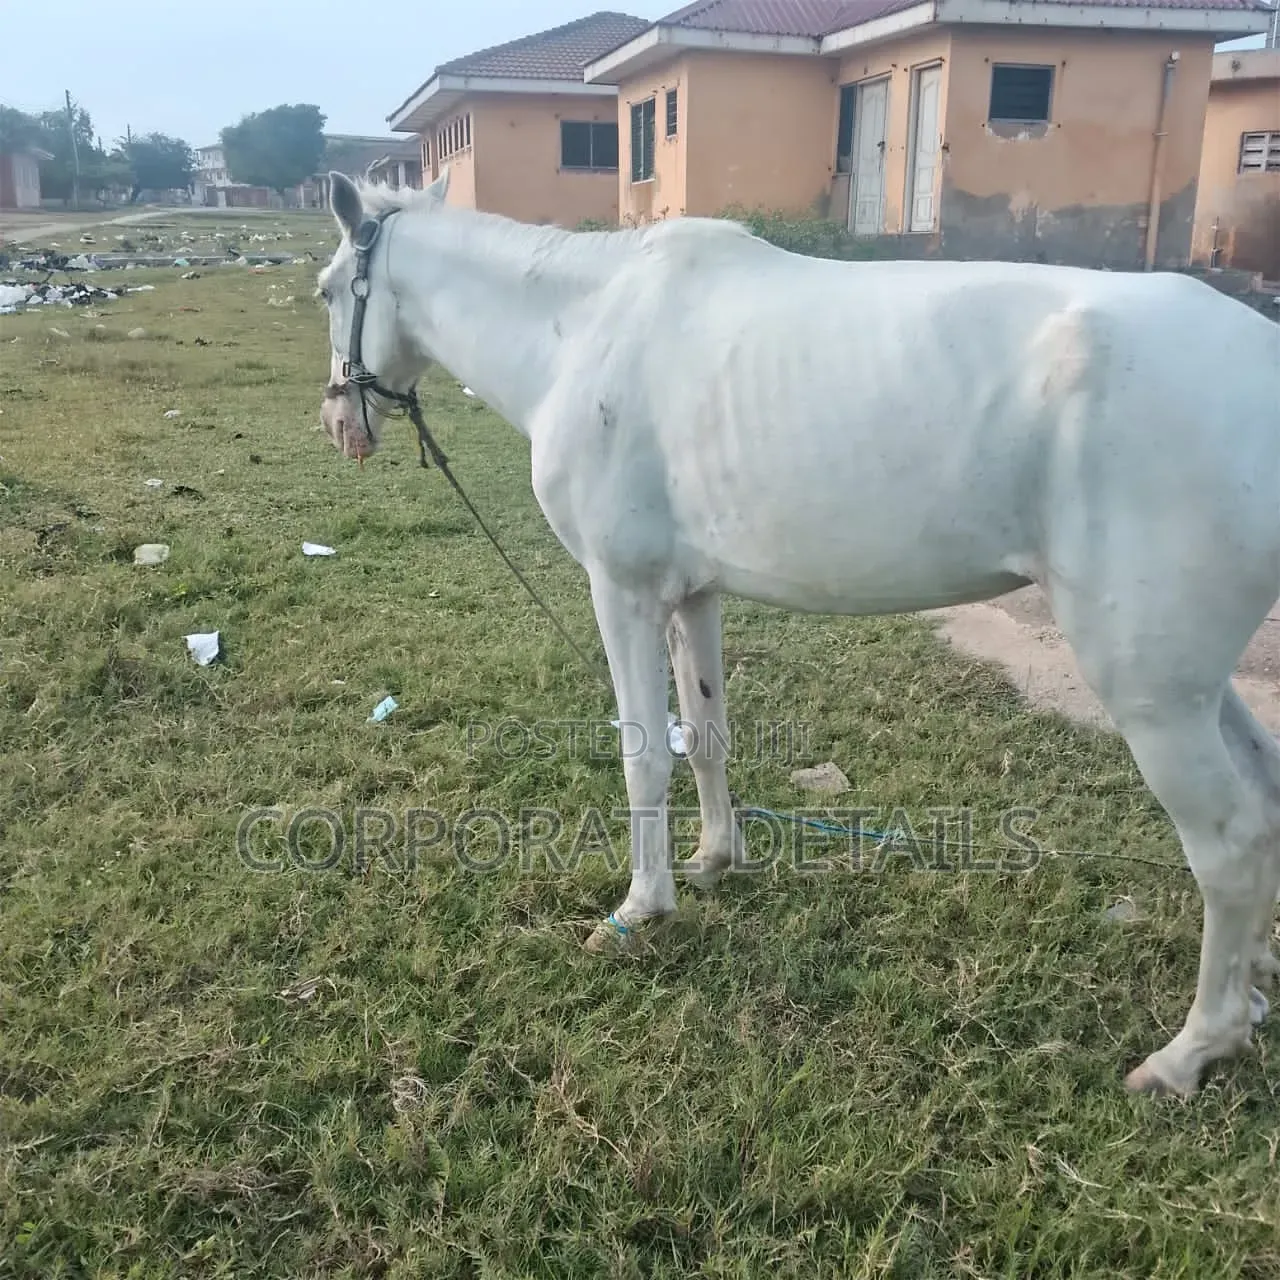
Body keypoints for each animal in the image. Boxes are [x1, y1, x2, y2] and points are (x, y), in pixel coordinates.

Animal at [315, 166, 1280, 1100]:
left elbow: (643, 754)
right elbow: (704, 734)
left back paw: (1191, 1052)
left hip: (1151, 690)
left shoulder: (622, 592)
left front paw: (642, 907)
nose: (336, 423)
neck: (581, 328)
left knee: (1229, 844)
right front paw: (713, 860)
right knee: (1264, 801)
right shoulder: (691, 594)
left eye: (327, 290)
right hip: (1192, 684)